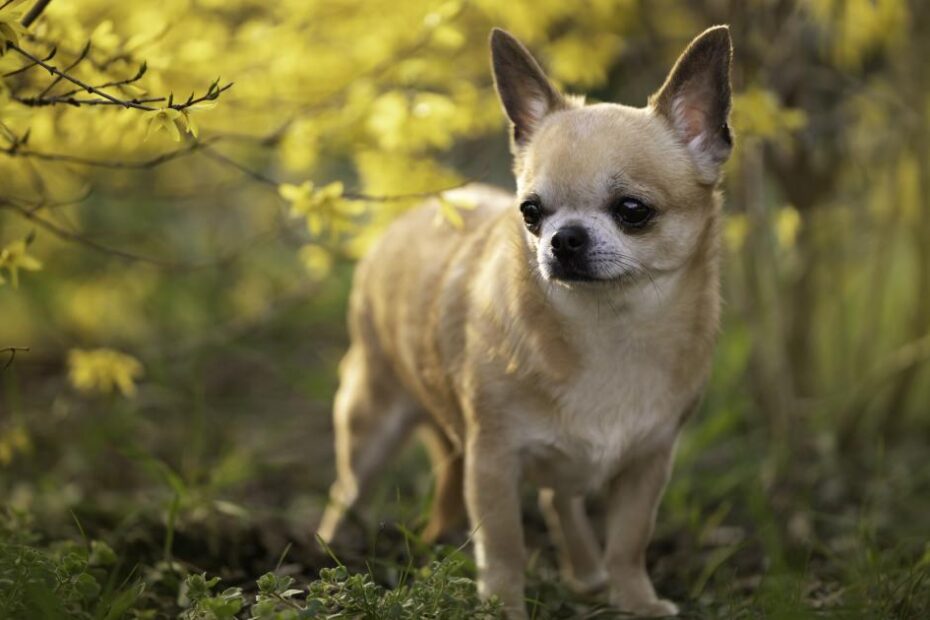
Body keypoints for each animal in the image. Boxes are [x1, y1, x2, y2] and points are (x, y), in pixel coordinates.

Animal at [320, 25, 732, 620]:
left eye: (633, 211)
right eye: (530, 213)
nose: (565, 238)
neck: (606, 330)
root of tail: (417, 211)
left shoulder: (649, 461)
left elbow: (630, 540)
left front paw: (636, 600)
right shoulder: (492, 461)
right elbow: (504, 546)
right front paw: (503, 606)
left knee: (558, 497)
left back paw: (587, 572)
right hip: (368, 418)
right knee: (346, 492)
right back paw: (328, 555)